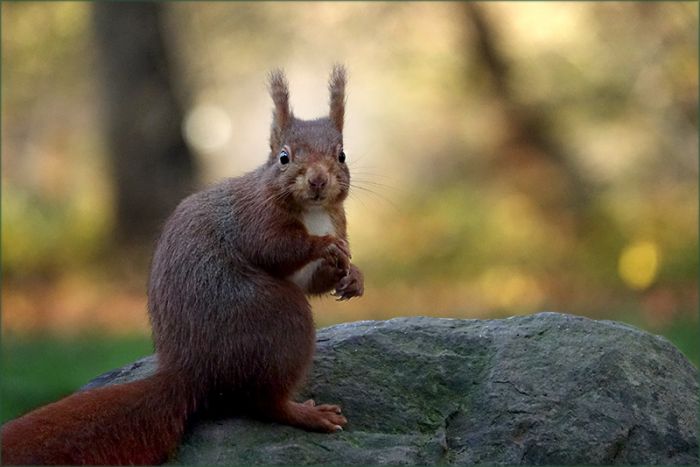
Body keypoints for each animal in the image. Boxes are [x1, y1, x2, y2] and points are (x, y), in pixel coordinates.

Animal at [1, 65, 364, 465]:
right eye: (284, 157)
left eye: (343, 155)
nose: (317, 180)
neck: (314, 212)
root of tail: (190, 373)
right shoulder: (253, 219)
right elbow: (275, 249)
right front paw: (324, 245)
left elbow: (313, 278)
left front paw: (352, 277)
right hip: (279, 319)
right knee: (264, 403)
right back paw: (307, 415)